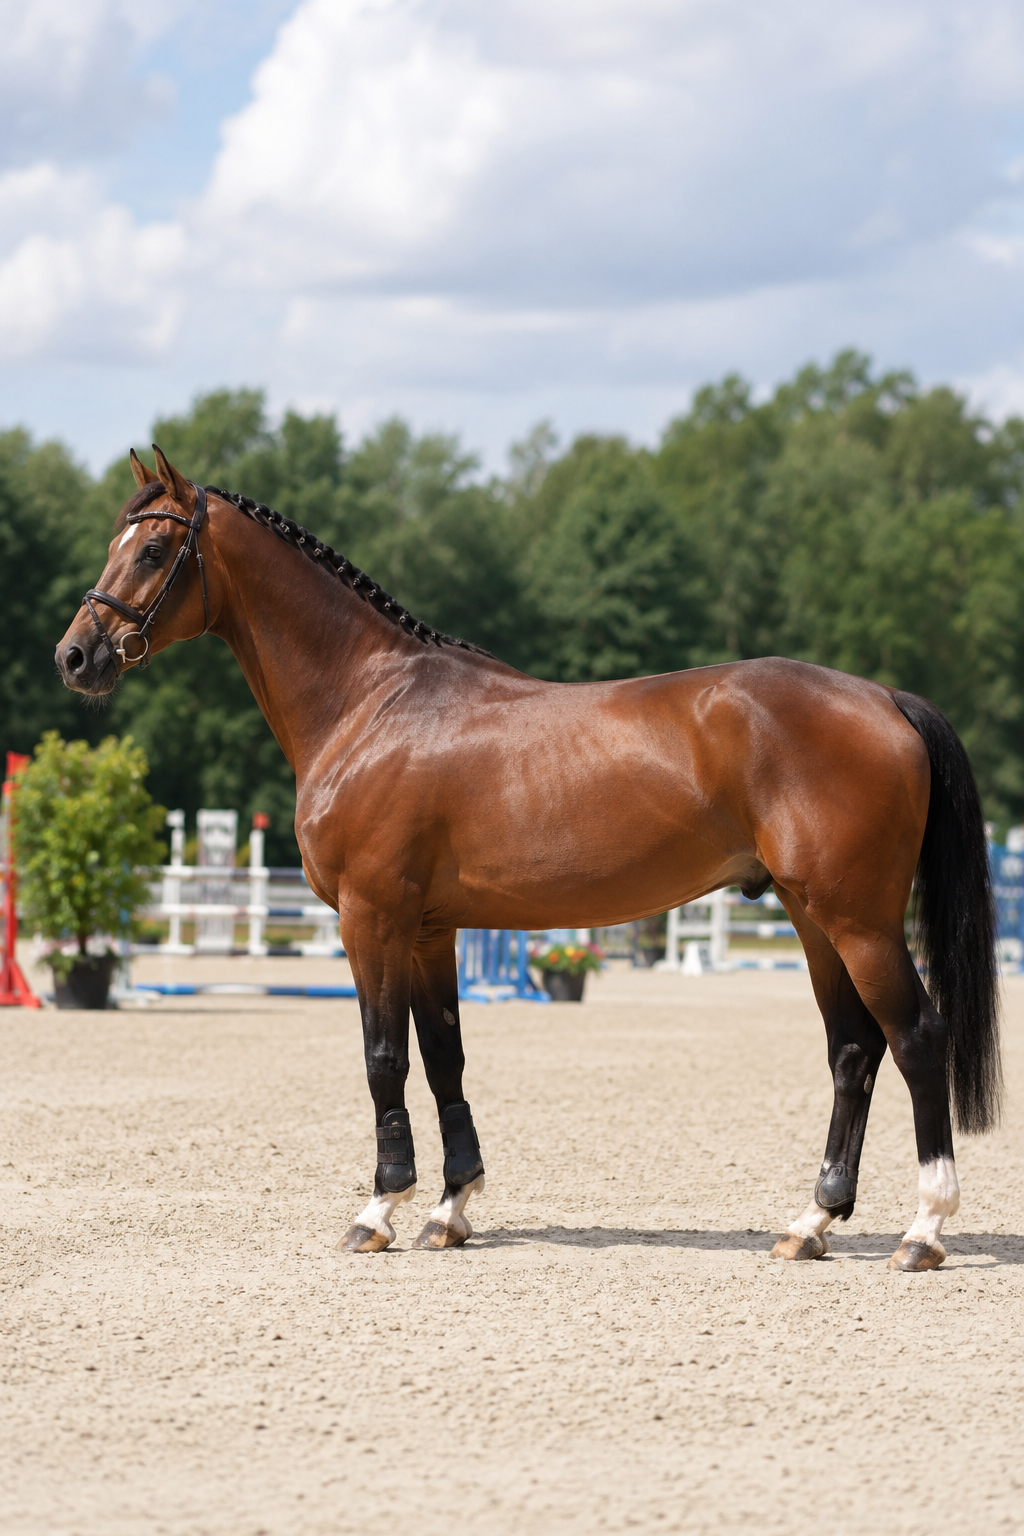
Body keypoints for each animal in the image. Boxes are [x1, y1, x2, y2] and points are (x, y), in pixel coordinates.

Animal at [55, 446, 1002, 1270]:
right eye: (114, 543)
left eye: (152, 549)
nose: (75, 656)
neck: (371, 703)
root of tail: (883, 697)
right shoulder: (429, 931)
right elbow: (444, 1057)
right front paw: (450, 1208)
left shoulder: (373, 919)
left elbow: (384, 1057)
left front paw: (379, 1209)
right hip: (813, 919)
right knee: (853, 1052)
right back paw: (812, 1222)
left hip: (858, 921)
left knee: (917, 1040)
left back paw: (924, 1230)